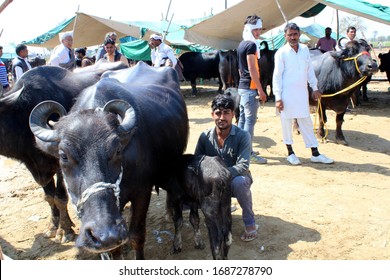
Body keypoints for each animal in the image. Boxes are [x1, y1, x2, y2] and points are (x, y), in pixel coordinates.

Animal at [0, 60, 125, 243]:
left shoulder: (58, 166)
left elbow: (59, 197)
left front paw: (65, 230)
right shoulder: (38, 167)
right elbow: (49, 196)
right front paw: (53, 226)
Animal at [29, 61, 190, 260]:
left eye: (117, 150)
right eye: (63, 155)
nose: (104, 234)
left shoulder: (142, 192)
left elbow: (137, 234)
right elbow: (113, 250)